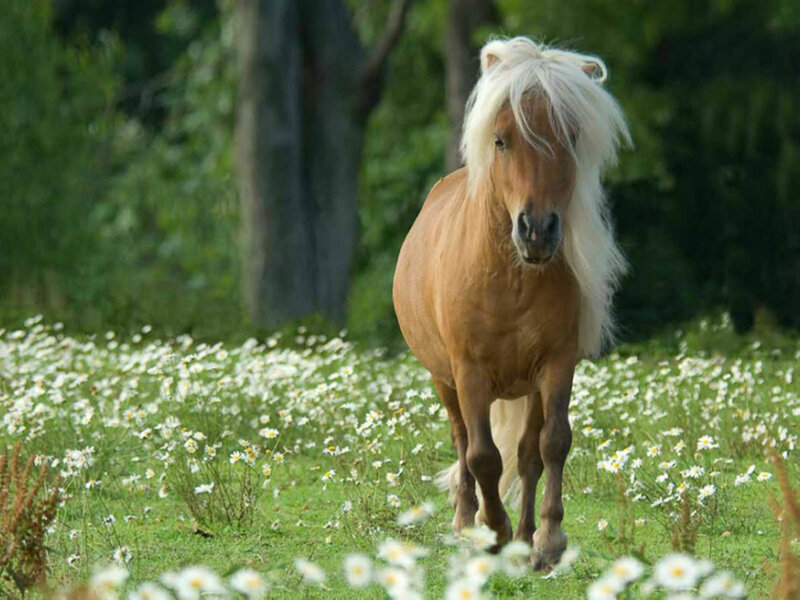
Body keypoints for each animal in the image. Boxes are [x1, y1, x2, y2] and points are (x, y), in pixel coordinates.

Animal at [392, 37, 630, 570]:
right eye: (501, 140)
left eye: (571, 138)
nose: (537, 230)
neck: (511, 280)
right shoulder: (468, 371)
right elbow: (482, 455)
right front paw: (492, 531)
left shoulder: (556, 364)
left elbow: (550, 446)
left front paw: (545, 541)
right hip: (444, 380)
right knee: (463, 442)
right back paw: (466, 522)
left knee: (525, 453)